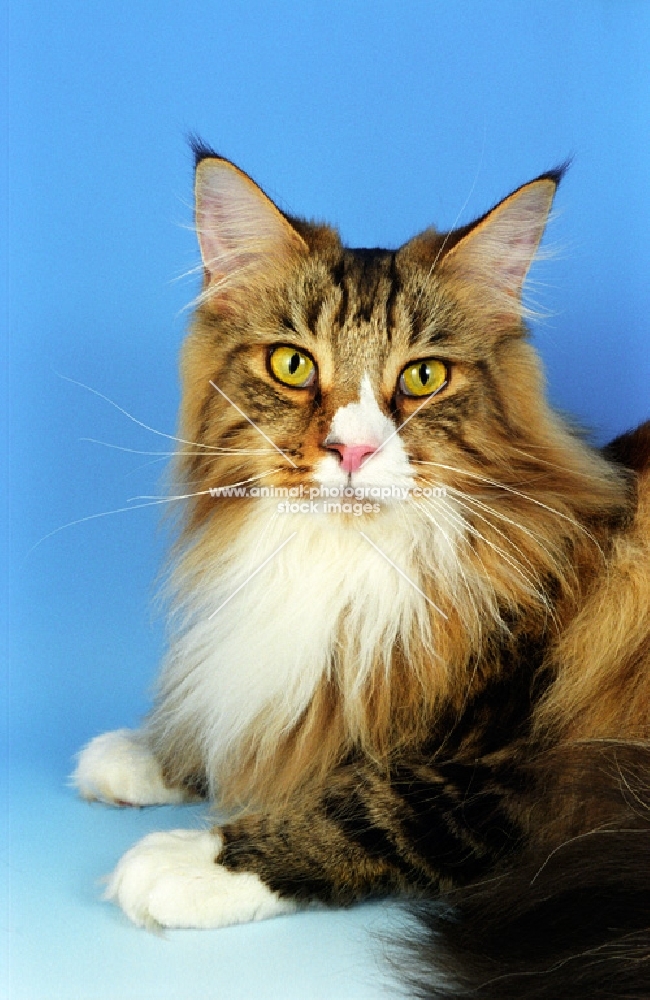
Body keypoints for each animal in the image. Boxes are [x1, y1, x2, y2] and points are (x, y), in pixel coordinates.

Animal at [73, 143, 644, 1000]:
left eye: (423, 378)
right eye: (291, 364)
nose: (353, 449)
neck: (344, 560)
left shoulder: (537, 775)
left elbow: (372, 804)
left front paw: (191, 862)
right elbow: (268, 716)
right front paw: (154, 752)